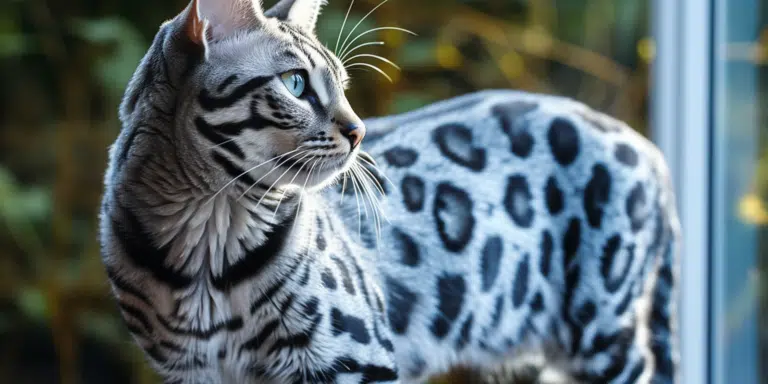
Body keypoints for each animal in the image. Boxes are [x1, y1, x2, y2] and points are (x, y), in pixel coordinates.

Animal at [99, 0, 680, 382]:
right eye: (295, 84)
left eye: (342, 86)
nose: (360, 131)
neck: (206, 250)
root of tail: (649, 148)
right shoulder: (193, 372)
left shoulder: (353, 357)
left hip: (604, 332)